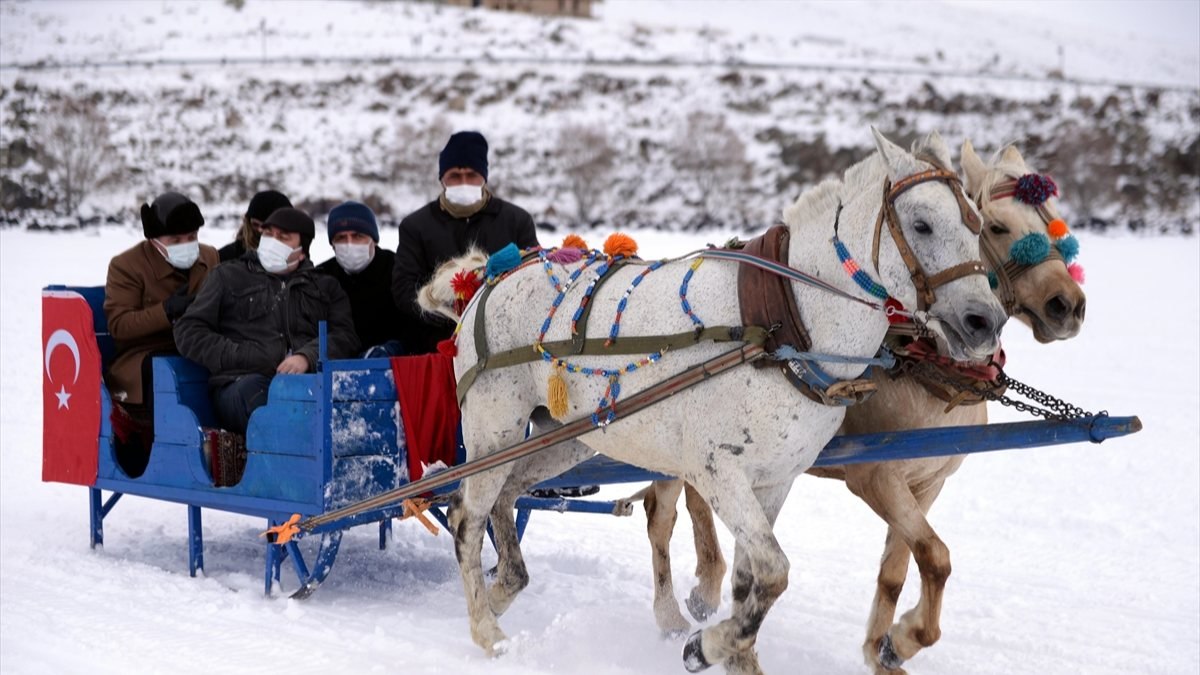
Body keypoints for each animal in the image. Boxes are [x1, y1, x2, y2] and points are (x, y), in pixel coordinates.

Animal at [422, 128, 1003, 667]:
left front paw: (731, 652)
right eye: (922, 224)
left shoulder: (775, 480)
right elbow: (773, 572)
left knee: (506, 496)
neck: (784, 321)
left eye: (977, 225)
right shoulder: (719, 471)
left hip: (566, 437)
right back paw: (486, 628)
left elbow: (751, 581)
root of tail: (487, 277)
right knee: (466, 515)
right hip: (494, 427)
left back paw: (504, 588)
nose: (986, 321)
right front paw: (706, 646)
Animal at [638, 139, 1089, 667]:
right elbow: (935, 556)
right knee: (662, 515)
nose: (1068, 305)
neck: (924, 368)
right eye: (997, 226)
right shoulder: (876, 477)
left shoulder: (927, 483)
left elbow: (905, 568)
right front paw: (902, 638)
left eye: (1056, 222)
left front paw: (888, 646)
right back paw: (681, 609)